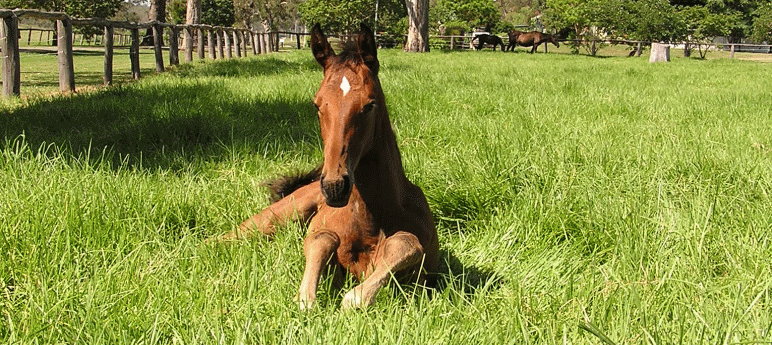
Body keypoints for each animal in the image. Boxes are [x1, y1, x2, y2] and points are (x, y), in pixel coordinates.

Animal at [214, 23, 438, 310]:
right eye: (316, 104)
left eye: (370, 104)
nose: (334, 187)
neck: (372, 218)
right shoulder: (322, 234)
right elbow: (322, 239)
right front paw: (306, 298)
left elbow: (405, 243)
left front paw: (356, 297)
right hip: (272, 218)